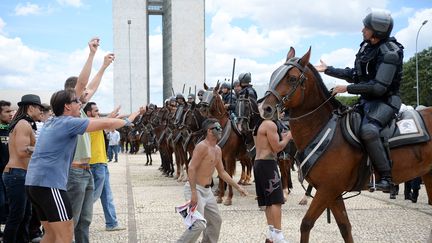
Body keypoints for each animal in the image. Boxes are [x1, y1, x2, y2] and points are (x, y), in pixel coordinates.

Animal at [260, 46, 432, 242]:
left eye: (292, 78)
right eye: (274, 74)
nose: (266, 108)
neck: (324, 129)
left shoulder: (327, 189)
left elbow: (306, 224)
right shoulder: (333, 193)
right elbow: (345, 227)